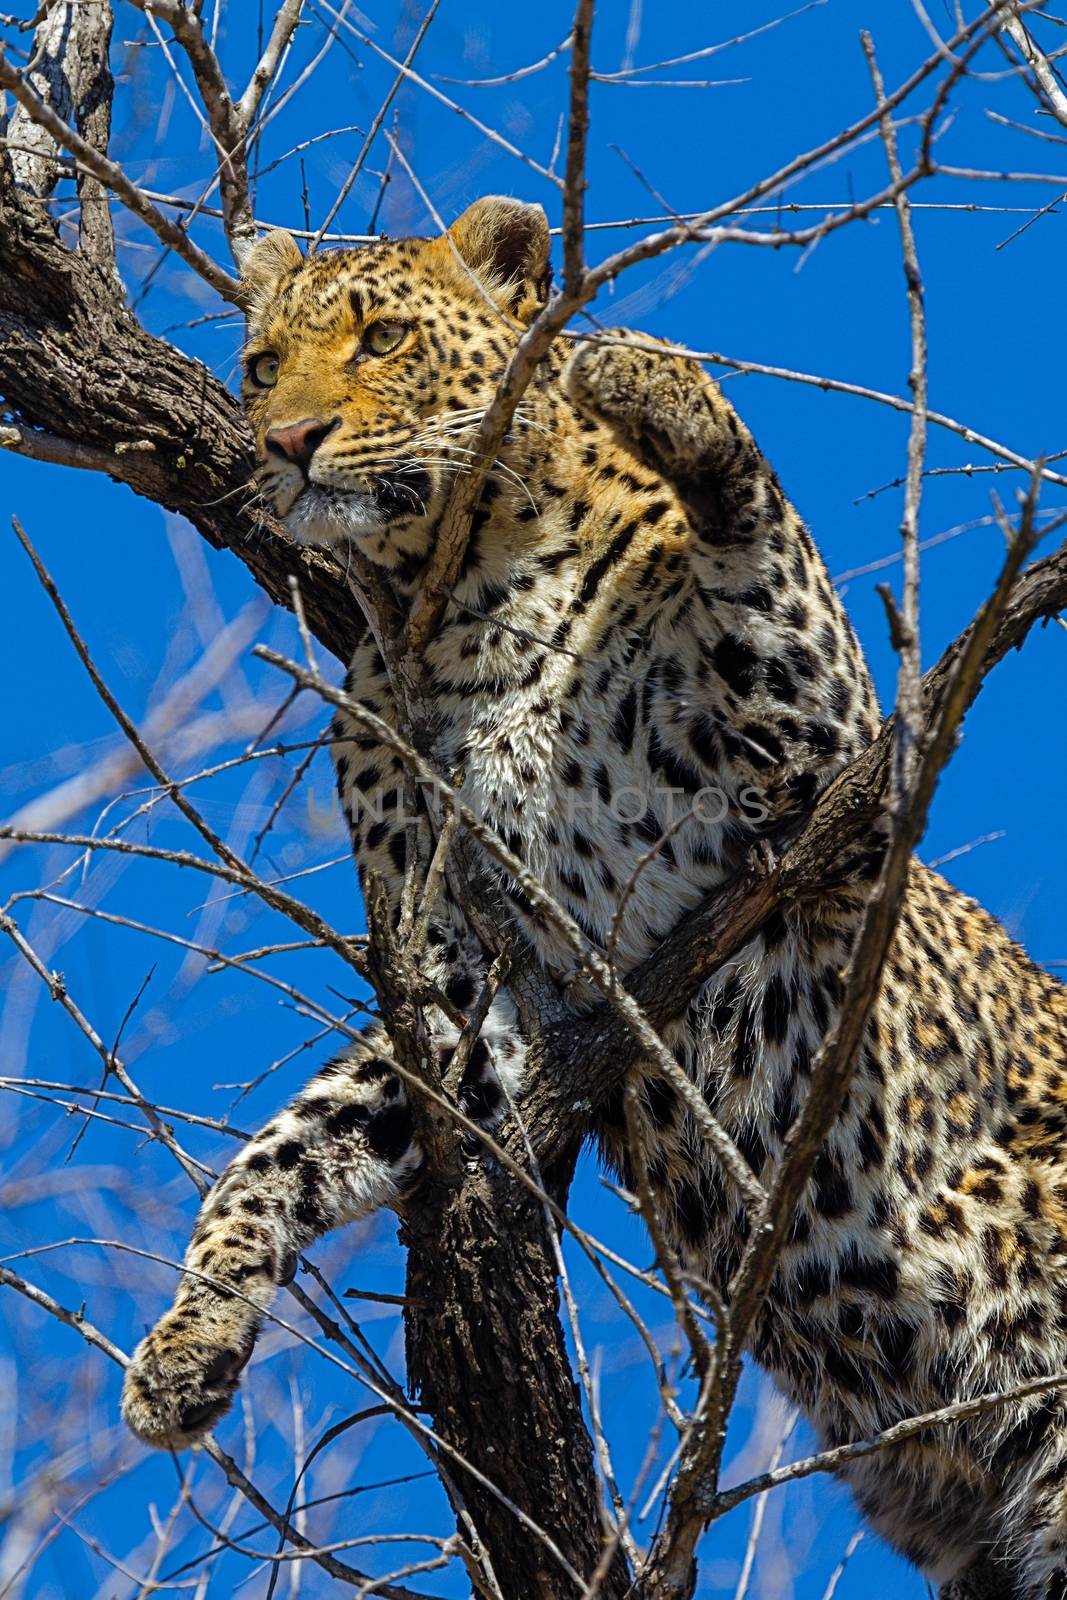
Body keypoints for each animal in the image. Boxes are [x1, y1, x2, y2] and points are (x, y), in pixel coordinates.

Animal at [120, 196, 1067, 1600]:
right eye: (258, 367)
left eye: (381, 338)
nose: (285, 444)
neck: (462, 603)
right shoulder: (463, 990)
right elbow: (277, 1149)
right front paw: (187, 1344)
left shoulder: (823, 784)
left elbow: (753, 542)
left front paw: (642, 380)